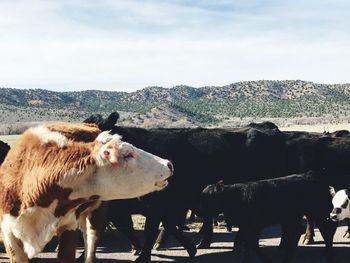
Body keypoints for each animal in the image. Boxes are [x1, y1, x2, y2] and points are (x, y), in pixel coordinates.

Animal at [0, 122, 172, 262]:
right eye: (128, 154)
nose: (168, 164)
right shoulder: (9, 234)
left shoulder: (69, 226)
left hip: (96, 213)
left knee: (90, 245)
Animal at [198, 173, 334, 263]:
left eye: (207, 198)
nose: (198, 212)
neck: (235, 197)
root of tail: (314, 176)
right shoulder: (246, 227)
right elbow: (249, 245)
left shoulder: (253, 226)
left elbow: (252, 245)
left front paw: (263, 259)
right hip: (295, 217)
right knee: (298, 232)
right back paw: (288, 255)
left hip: (317, 213)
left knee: (326, 229)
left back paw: (327, 254)